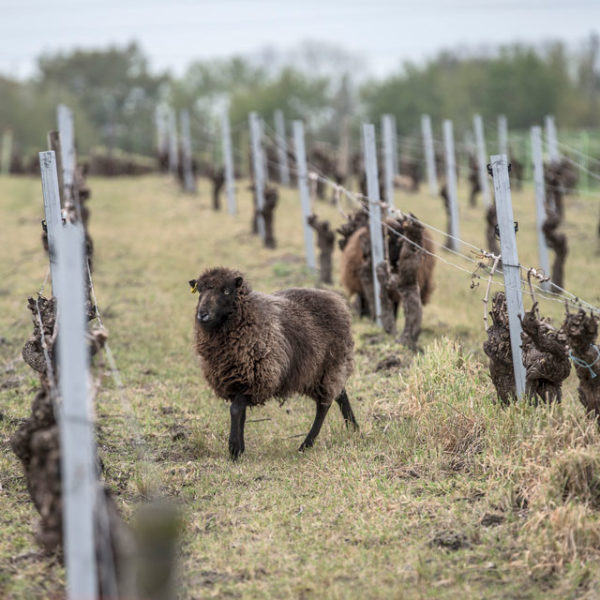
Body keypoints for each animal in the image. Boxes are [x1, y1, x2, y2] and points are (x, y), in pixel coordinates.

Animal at [189, 264, 356, 458]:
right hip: (325, 370)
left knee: (324, 405)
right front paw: (240, 448)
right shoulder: (237, 380)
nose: (203, 315)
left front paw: (234, 449)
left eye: (226, 291)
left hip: (329, 366)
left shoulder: (257, 379)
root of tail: (337, 300)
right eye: (199, 290)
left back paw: (306, 444)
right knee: (341, 394)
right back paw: (354, 428)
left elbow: (235, 410)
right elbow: (241, 413)